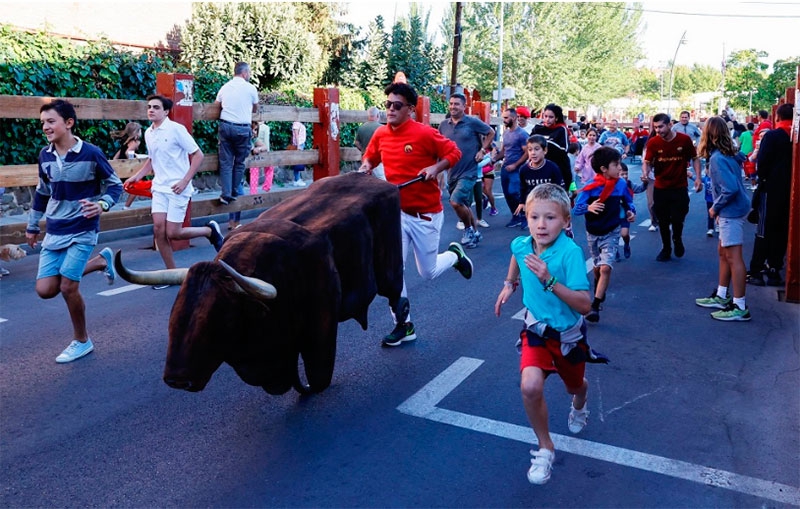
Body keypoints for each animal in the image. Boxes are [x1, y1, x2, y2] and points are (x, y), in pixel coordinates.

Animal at [115, 173, 410, 394]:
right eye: (176, 314)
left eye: (221, 318)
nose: (177, 378)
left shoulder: (321, 331)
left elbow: (317, 373)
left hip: (390, 268)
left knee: (397, 296)